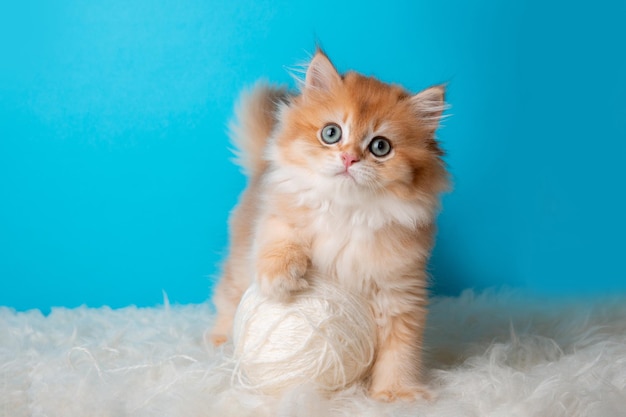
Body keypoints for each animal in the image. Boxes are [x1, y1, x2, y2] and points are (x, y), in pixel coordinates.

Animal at [210, 50, 448, 402]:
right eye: (331, 133)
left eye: (380, 147)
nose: (349, 159)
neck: (347, 212)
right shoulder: (275, 216)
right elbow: (280, 241)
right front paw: (280, 280)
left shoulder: (400, 291)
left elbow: (400, 350)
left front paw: (395, 393)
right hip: (239, 265)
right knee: (226, 296)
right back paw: (219, 340)